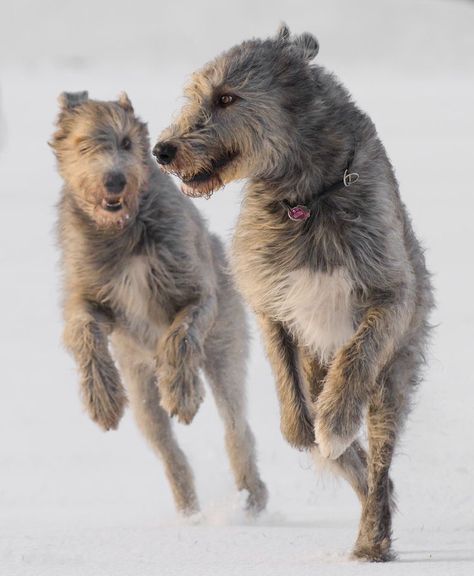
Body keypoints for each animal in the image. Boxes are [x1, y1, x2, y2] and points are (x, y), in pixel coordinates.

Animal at [52, 92, 266, 516]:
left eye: (126, 143)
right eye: (84, 145)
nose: (115, 180)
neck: (123, 231)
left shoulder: (194, 287)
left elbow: (182, 333)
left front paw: (183, 394)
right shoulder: (88, 292)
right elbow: (83, 328)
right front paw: (102, 400)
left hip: (225, 345)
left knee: (236, 425)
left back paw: (251, 496)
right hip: (140, 388)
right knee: (166, 448)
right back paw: (188, 511)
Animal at [155, 28, 434, 564]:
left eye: (227, 98)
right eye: (195, 95)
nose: (162, 150)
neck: (305, 198)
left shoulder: (389, 292)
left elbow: (360, 351)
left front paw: (336, 420)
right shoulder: (268, 298)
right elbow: (287, 382)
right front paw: (303, 427)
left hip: (394, 376)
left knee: (378, 454)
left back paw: (372, 536)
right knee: (352, 461)